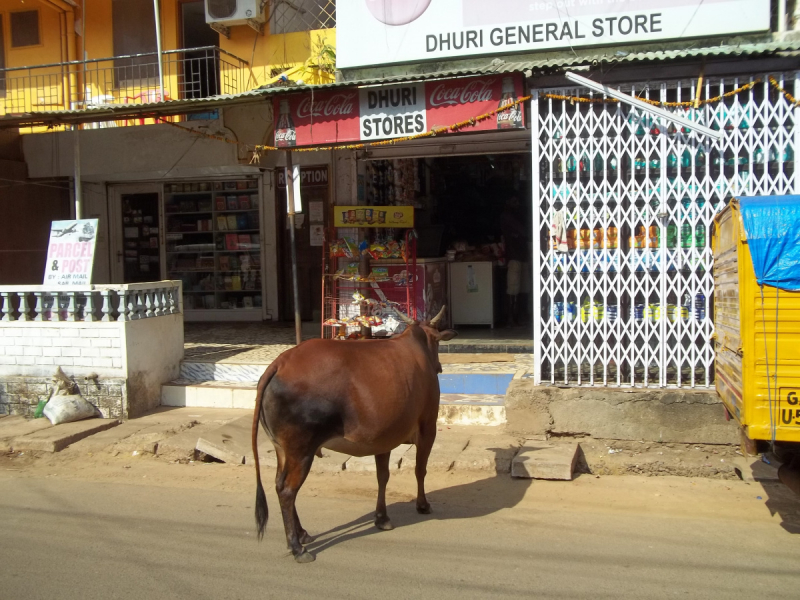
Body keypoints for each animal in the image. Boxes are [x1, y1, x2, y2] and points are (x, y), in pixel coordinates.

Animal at [253, 310, 460, 564]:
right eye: (437, 342)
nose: (439, 366)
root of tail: (280, 363)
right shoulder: (428, 427)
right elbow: (420, 470)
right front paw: (422, 505)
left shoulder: (385, 438)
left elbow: (382, 477)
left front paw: (382, 518)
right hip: (301, 452)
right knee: (287, 491)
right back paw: (297, 547)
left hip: (282, 450)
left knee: (278, 484)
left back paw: (301, 534)